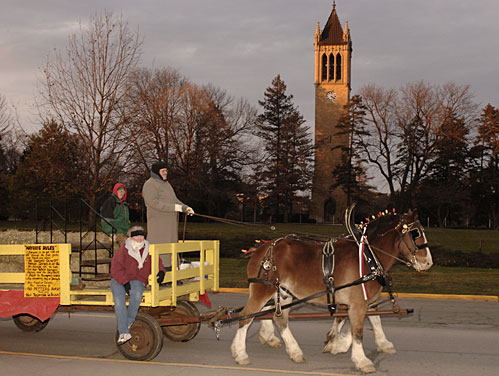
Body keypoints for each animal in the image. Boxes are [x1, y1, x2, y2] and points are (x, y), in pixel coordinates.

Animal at [232, 209, 432, 374]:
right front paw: (361, 360)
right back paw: (241, 353)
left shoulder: (366, 301)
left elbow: (373, 321)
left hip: (283, 292)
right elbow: (357, 331)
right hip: (263, 289)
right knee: (246, 316)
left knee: (277, 318)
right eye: (416, 233)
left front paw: (373, 344)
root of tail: (262, 248)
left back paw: (292, 350)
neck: (368, 255)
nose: (428, 262)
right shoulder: (358, 303)